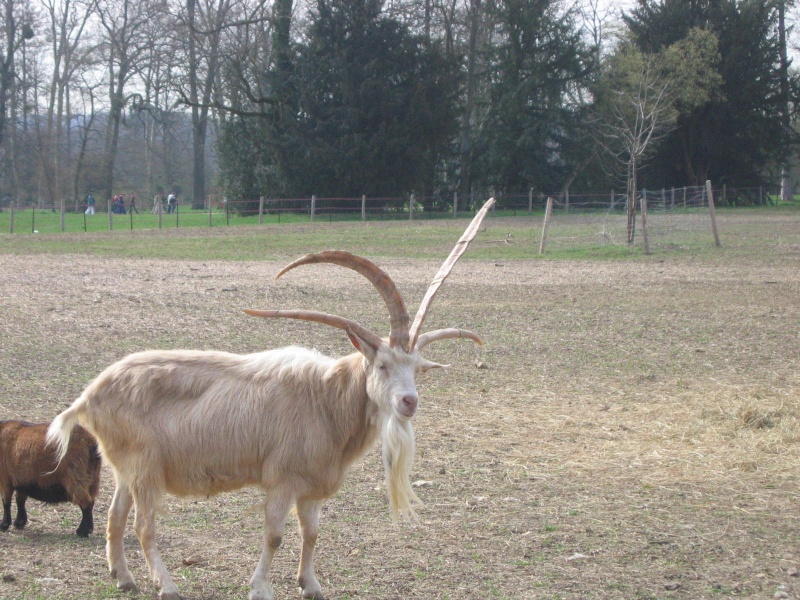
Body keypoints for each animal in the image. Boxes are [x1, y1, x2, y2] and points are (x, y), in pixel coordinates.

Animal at [48, 198, 494, 600]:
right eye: (382, 365)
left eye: (417, 369)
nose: (408, 403)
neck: (326, 398)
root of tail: (89, 394)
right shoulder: (282, 479)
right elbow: (276, 535)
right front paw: (260, 587)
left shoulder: (312, 487)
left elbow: (311, 533)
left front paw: (310, 585)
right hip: (145, 468)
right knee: (143, 526)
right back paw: (168, 587)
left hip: (127, 468)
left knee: (115, 516)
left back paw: (123, 578)